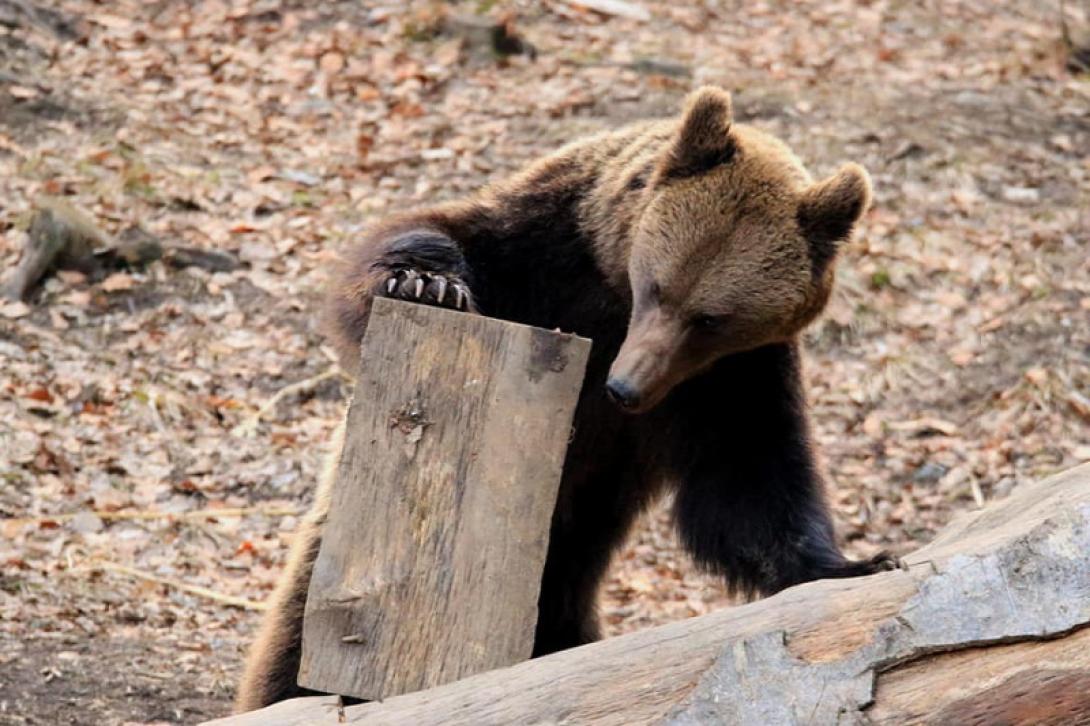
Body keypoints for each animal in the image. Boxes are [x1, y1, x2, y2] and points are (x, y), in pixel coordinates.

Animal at [236, 86, 893, 710]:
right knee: (297, 648)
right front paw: (426, 282)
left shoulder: (729, 381)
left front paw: (853, 562)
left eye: (711, 319)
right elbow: (432, 240)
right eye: (657, 287)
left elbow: (751, 486)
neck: (612, 292)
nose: (624, 386)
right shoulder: (546, 252)